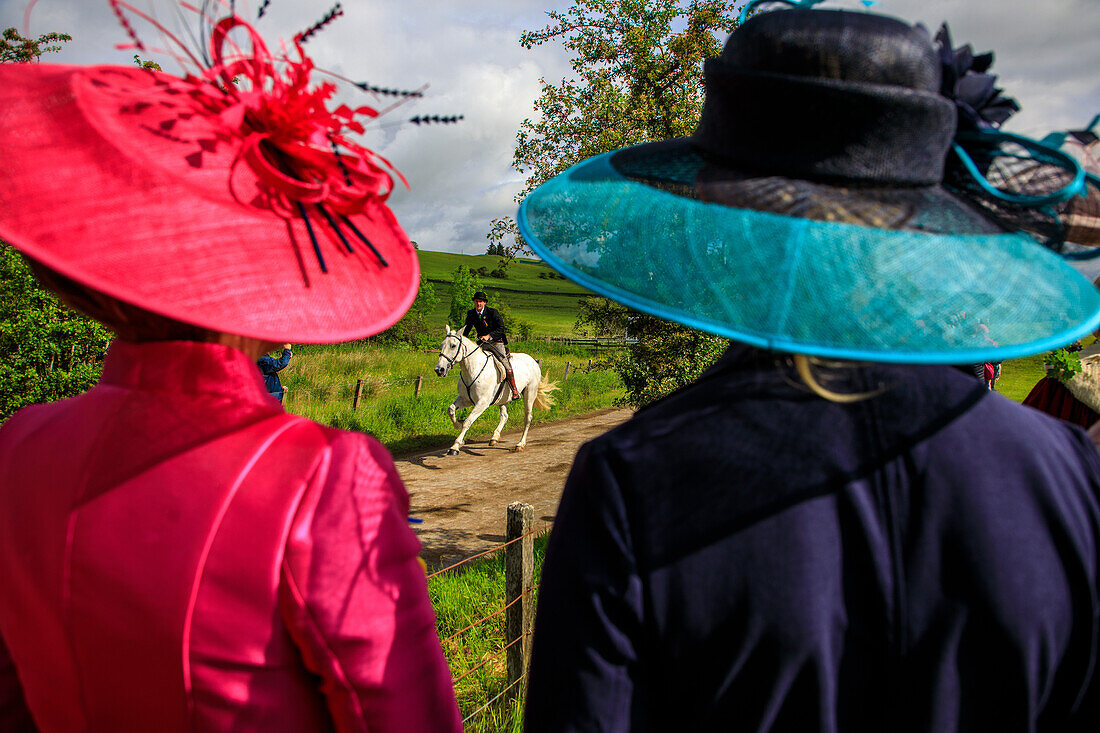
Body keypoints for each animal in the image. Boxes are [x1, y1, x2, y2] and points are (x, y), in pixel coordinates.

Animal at [433, 323, 558, 451]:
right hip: (503, 398)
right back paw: (494, 438)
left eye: (453, 345)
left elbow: (468, 421)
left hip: (530, 393)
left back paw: (520, 444)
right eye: (442, 345)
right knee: (504, 416)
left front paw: (455, 446)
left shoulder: (482, 403)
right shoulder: (465, 399)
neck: (473, 369)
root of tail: (533, 361)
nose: (439, 369)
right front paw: (458, 425)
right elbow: (451, 409)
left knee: (527, 418)